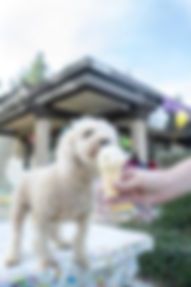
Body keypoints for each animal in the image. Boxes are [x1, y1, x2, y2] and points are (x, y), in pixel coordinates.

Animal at [5, 117, 118, 270]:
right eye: (87, 132)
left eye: (110, 136)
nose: (106, 140)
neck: (73, 180)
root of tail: (26, 172)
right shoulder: (42, 216)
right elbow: (40, 240)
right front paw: (47, 260)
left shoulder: (84, 217)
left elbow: (80, 238)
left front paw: (81, 259)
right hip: (20, 209)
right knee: (17, 235)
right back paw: (13, 256)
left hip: (53, 216)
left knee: (53, 231)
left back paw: (61, 242)